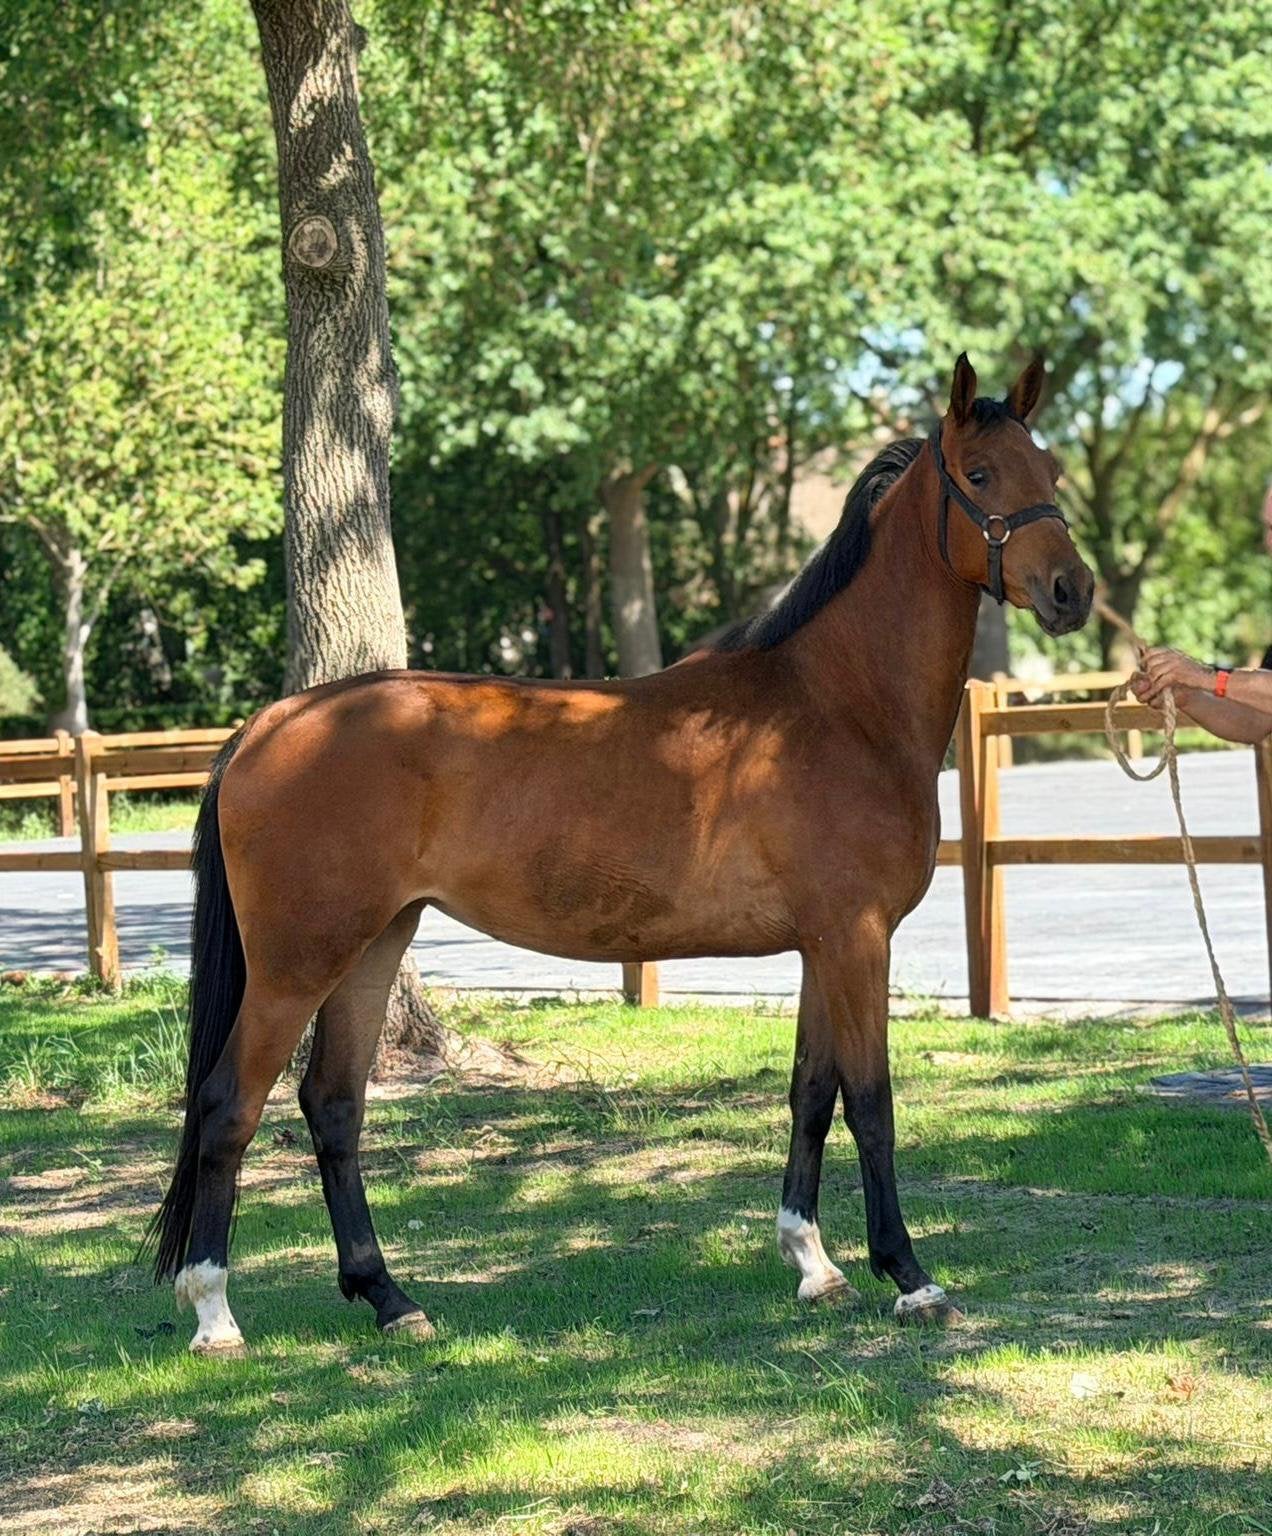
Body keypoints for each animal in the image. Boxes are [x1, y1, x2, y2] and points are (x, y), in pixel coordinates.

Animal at [146, 353, 1093, 1353]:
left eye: (1051, 470)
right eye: (980, 476)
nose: (1073, 591)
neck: (837, 706)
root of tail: (272, 724)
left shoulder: (821, 947)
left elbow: (811, 1095)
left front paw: (813, 1264)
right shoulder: (856, 939)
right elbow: (871, 1103)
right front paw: (910, 1277)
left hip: (374, 943)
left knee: (333, 1105)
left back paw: (391, 1298)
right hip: (297, 963)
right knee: (229, 1105)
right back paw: (214, 1312)